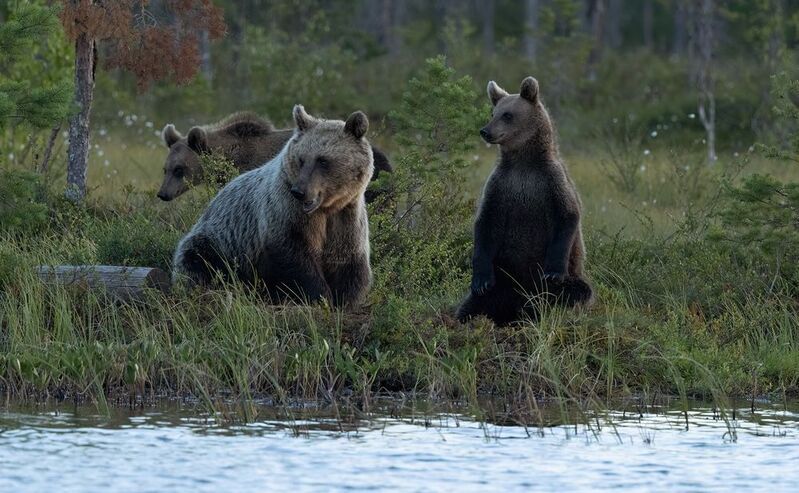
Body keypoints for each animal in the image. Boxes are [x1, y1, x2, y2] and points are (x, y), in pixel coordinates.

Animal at [171, 105, 374, 308]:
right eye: (301, 159)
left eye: (322, 160)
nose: (299, 191)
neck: (326, 209)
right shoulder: (285, 212)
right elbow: (295, 257)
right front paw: (320, 295)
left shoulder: (345, 217)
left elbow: (348, 260)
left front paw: (346, 298)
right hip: (217, 242)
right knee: (197, 260)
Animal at [456, 76, 593, 326]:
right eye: (493, 112)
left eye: (507, 115)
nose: (485, 131)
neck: (523, 163)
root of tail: (521, 300)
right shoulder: (501, 185)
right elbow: (484, 223)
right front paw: (480, 281)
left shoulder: (550, 181)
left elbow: (567, 215)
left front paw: (553, 271)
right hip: (503, 280)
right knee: (476, 302)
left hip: (555, 284)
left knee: (578, 291)